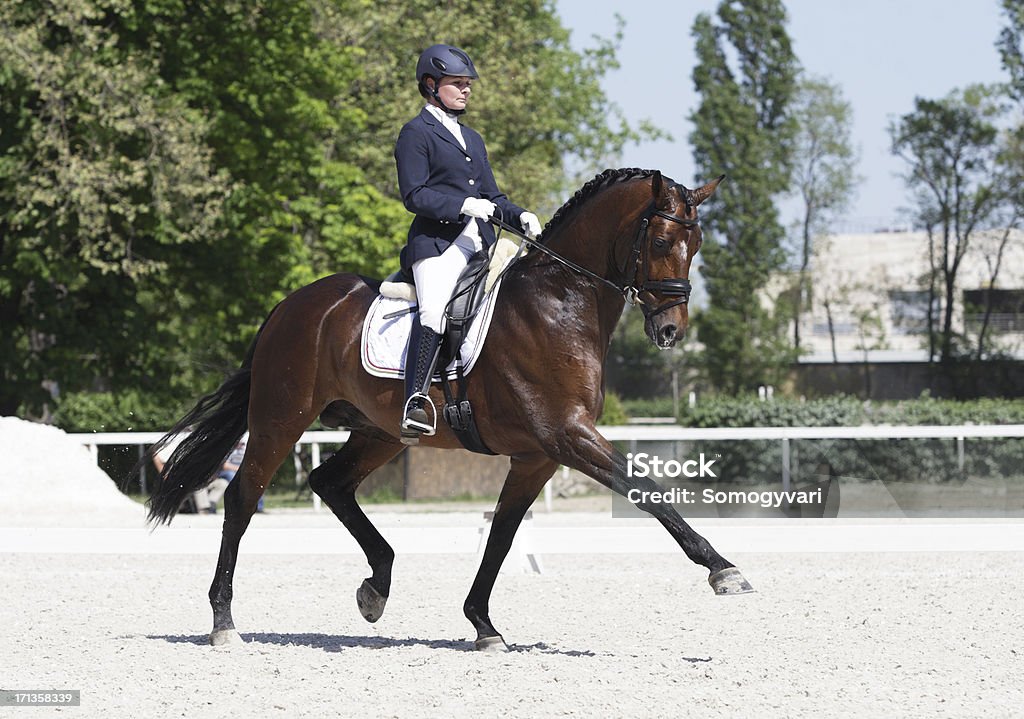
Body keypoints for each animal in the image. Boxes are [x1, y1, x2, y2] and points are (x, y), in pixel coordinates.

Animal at [140, 167, 753, 655]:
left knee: (329, 482)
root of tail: (292, 304)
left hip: (379, 431)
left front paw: (483, 625)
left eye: (697, 242)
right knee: (243, 498)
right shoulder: (568, 436)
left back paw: (376, 588)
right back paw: (224, 622)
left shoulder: (538, 456)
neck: (559, 303)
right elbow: (647, 492)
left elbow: (502, 535)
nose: (671, 331)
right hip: (280, 418)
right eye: (662, 238)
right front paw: (724, 571)